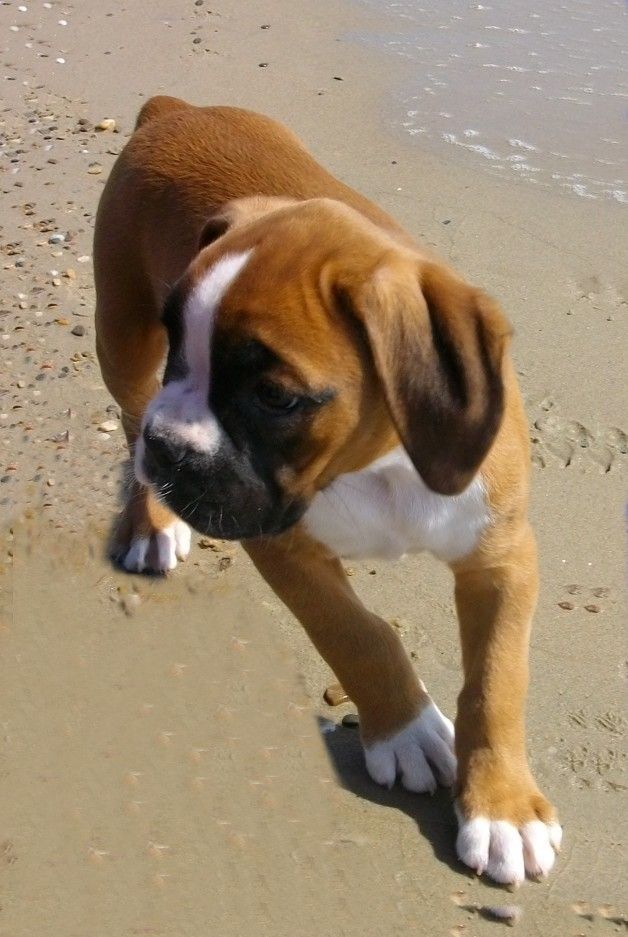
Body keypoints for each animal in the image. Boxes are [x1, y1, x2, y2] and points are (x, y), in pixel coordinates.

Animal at [95, 95, 560, 884]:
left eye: (277, 398)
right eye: (181, 345)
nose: (173, 448)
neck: (380, 465)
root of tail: (177, 109)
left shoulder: (502, 557)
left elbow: (498, 679)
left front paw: (502, 806)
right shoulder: (283, 546)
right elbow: (355, 633)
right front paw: (404, 732)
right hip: (121, 338)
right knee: (129, 415)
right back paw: (152, 517)